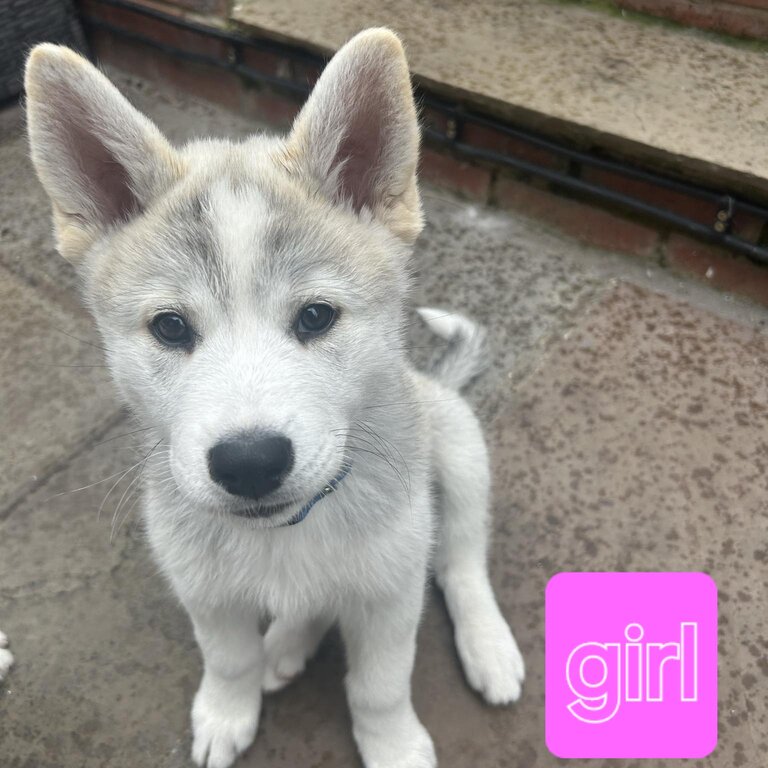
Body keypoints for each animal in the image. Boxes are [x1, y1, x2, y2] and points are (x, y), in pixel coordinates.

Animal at [25, 30, 528, 768]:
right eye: (170, 328)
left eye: (316, 317)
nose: (250, 463)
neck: (286, 536)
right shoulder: (202, 587)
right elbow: (227, 658)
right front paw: (227, 710)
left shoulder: (390, 591)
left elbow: (380, 687)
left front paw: (394, 745)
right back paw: (285, 645)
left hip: (460, 453)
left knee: (462, 558)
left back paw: (487, 646)